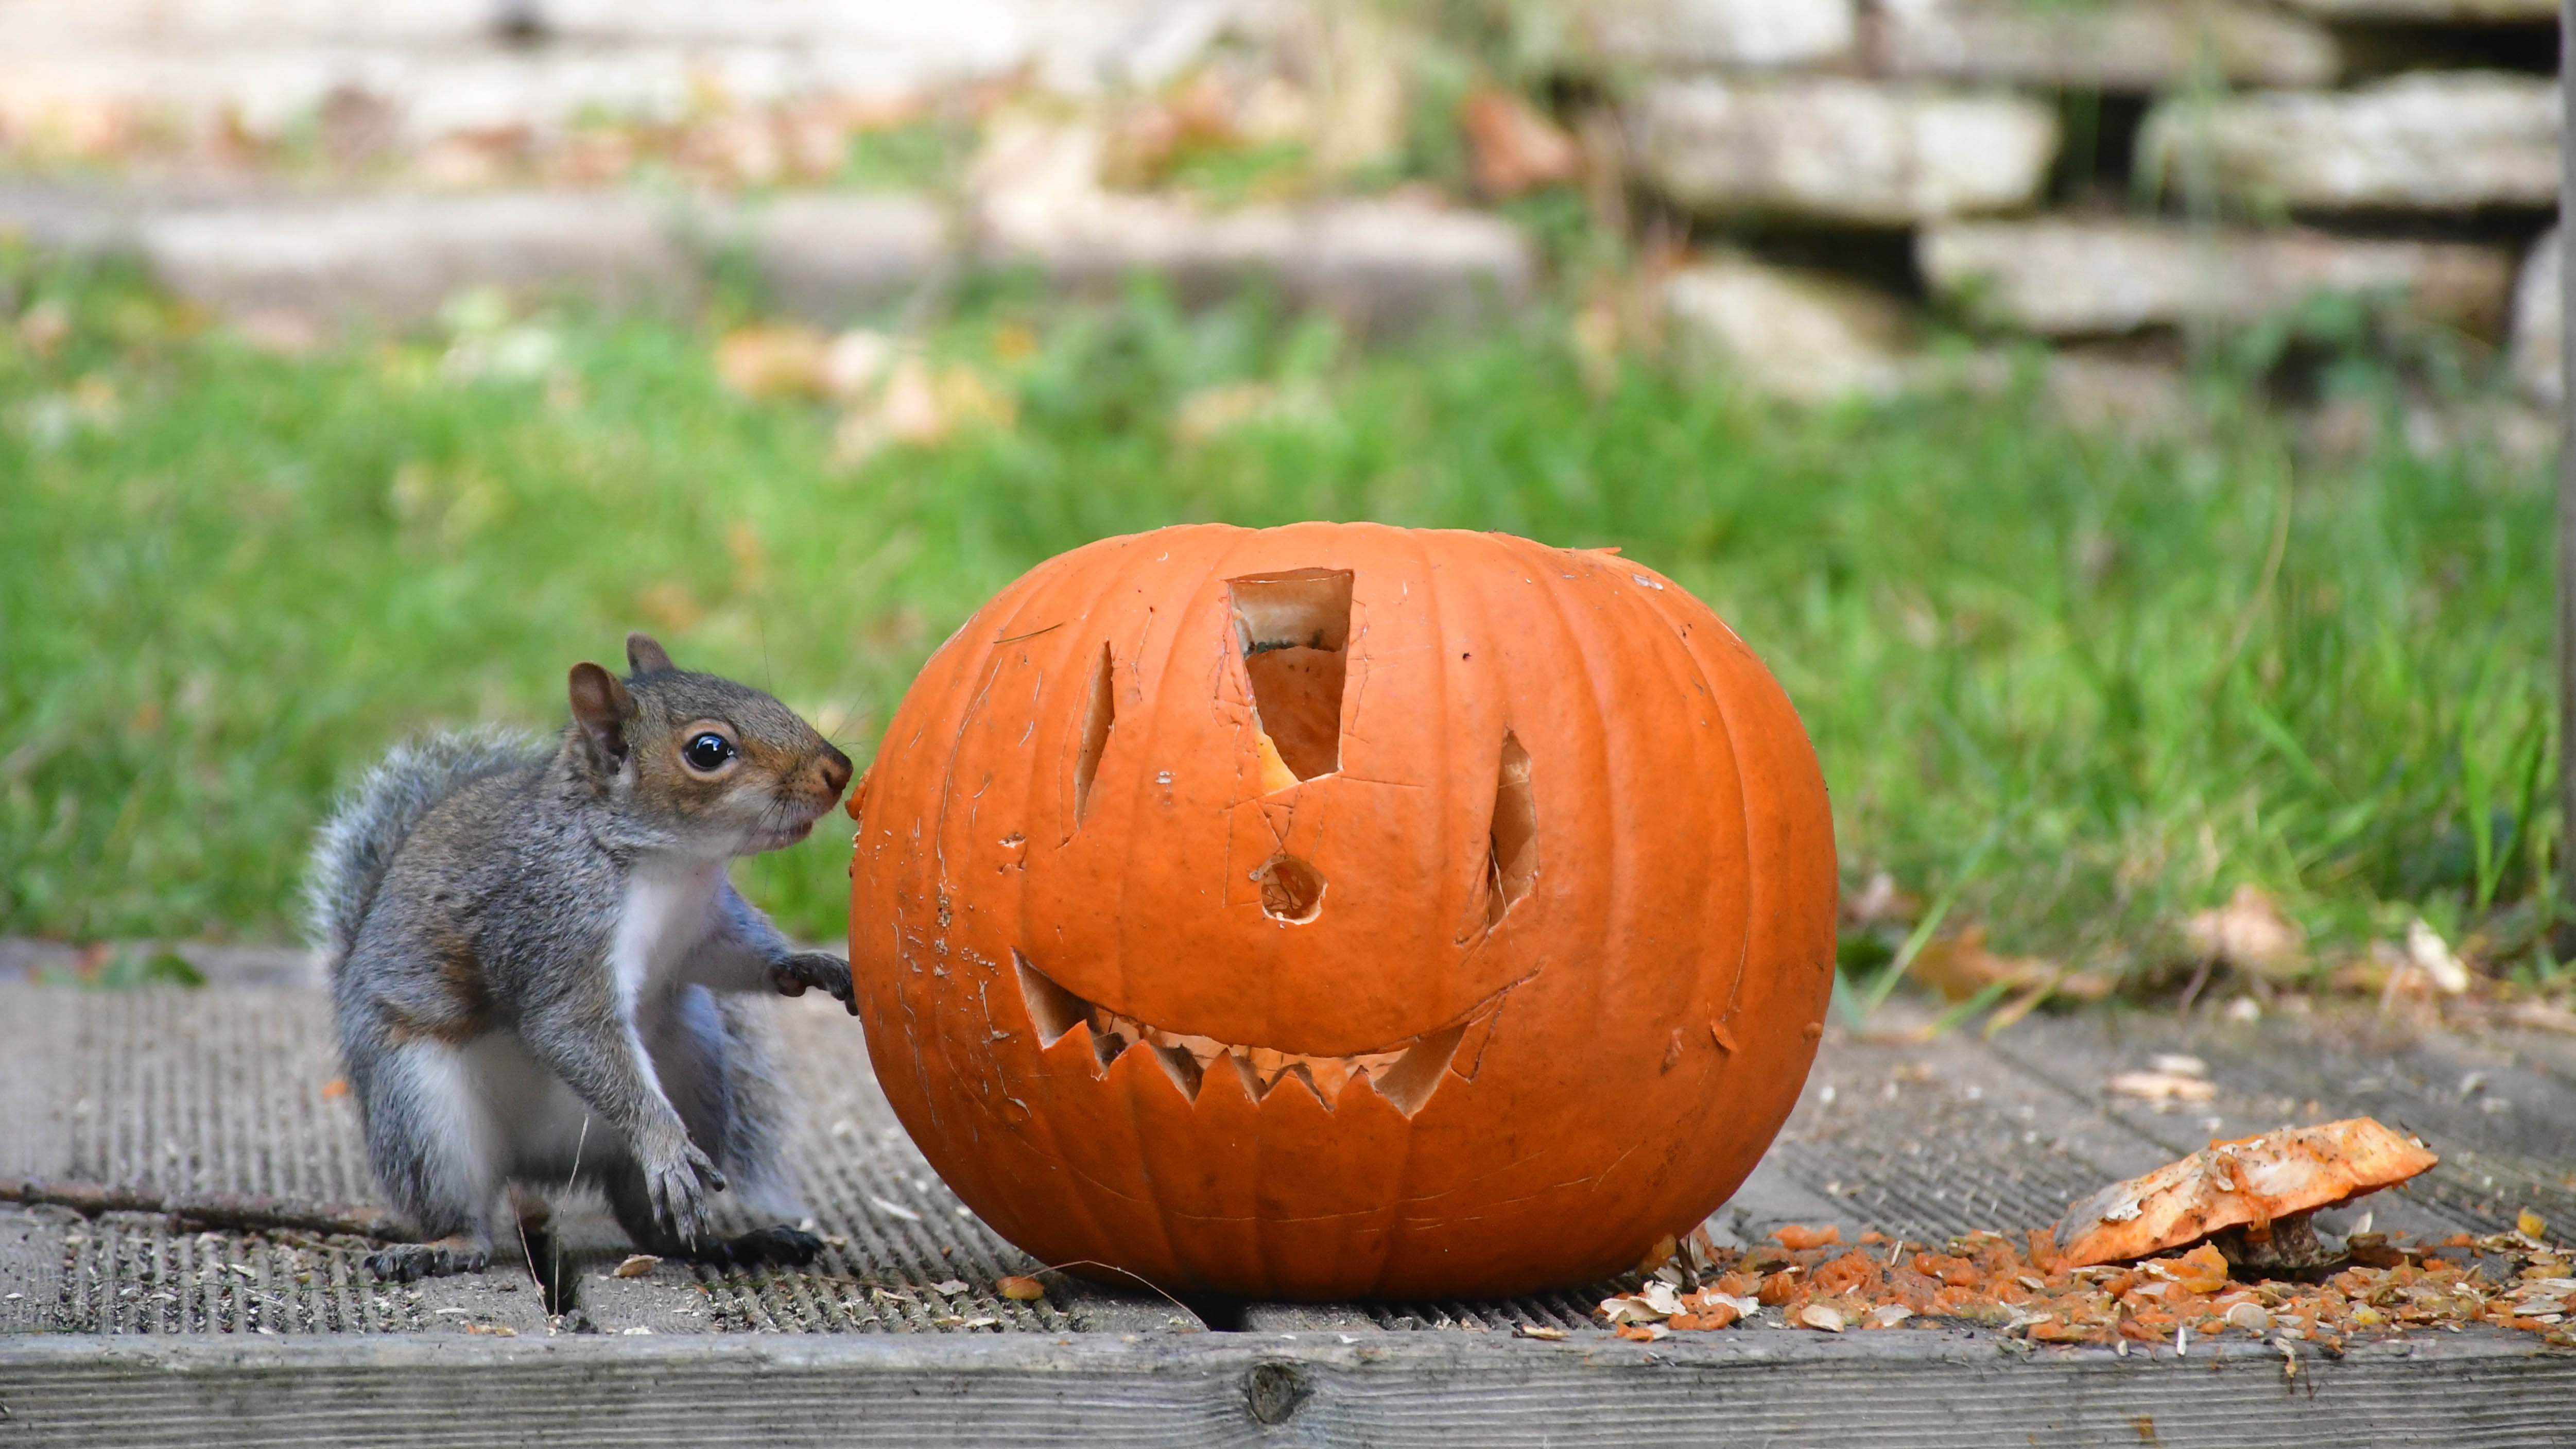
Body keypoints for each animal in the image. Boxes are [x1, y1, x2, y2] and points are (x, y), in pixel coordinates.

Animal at [306, 631, 860, 1273]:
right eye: (708, 750)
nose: (838, 771)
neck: (669, 867)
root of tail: (544, 1164)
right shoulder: (552, 926)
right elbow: (567, 1025)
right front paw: (664, 1143)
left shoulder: (703, 932)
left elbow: (739, 959)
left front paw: (807, 965)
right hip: (421, 1110)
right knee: (459, 1207)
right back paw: (445, 1247)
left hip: (695, 1064)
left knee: (652, 1226)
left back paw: (737, 1242)